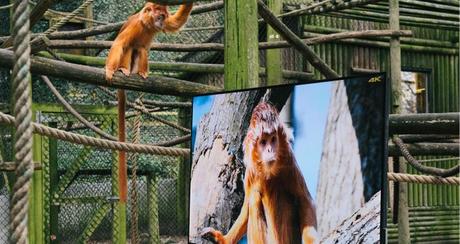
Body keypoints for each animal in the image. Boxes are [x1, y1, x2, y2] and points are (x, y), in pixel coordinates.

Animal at [203, 102, 318, 243]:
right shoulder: (250, 172)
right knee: (254, 197)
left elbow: (304, 200)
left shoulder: (289, 162)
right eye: (263, 142)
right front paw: (223, 240)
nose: (269, 150)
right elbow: (246, 209)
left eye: (273, 139)